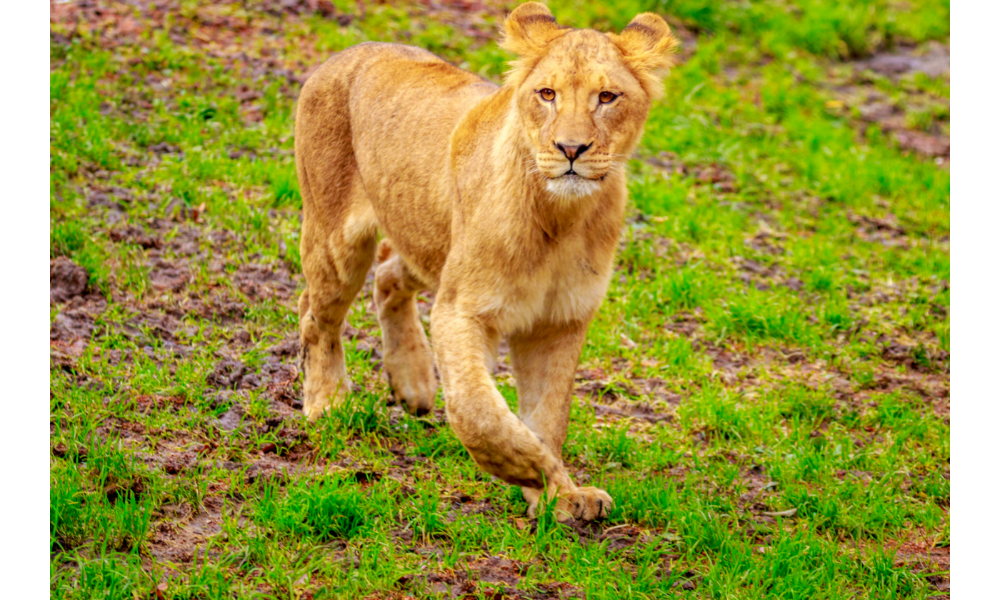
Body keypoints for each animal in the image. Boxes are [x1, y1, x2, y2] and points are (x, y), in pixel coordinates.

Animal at [292, 2, 676, 520]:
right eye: (547, 94)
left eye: (607, 97)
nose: (571, 149)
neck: (560, 218)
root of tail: (351, 51)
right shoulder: (463, 308)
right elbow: (479, 411)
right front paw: (531, 468)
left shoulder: (559, 321)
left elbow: (549, 414)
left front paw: (561, 496)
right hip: (338, 242)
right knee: (316, 315)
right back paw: (327, 402)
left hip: (432, 239)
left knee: (389, 272)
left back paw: (412, 383)